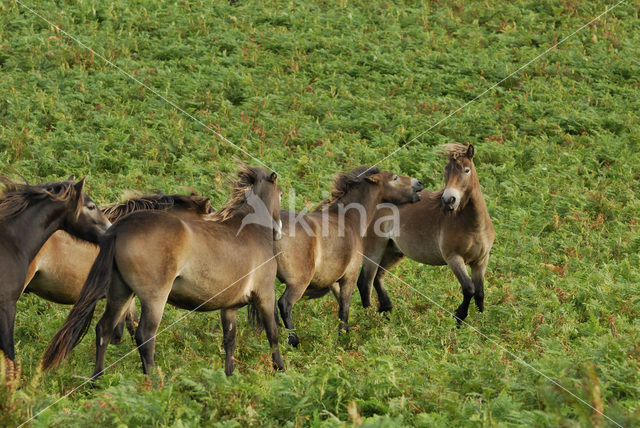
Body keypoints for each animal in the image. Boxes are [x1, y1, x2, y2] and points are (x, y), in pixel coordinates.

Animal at [43, 166, 284, 376]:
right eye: (281, 194)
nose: (279, 232)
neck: (251, 231)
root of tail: (119, 228)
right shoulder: (265, 295)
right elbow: (273, 334)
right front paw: (280, 369)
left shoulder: (229, 306)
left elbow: (230, 340)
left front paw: (229, 375)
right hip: (154, 298)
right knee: (145, 335)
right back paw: (154, 380)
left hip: (121, 293)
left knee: (104, 329)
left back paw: (97, 379)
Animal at [272, 166, 422, 346]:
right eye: (394, 178)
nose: (419, 183)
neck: (348, 219)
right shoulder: (349, 276)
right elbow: (345, 308)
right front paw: (345, 337)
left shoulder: (334, 281)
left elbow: (342, 307)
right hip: (298, 283)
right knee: (284, 304)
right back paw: (294, 341)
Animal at [358, 142, 492, 322]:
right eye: (446, 171)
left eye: (466, 170)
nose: (448, 200)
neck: (474, 226)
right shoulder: (454, 259)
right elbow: (469, 289)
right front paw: (458, 318)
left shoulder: (481, 261)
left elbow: (479, 293)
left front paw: (481, 322)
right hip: (374, 250)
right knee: (365, 281)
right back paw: (369, 317)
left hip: (393, 251)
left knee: (378, 277)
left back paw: (386, 310)